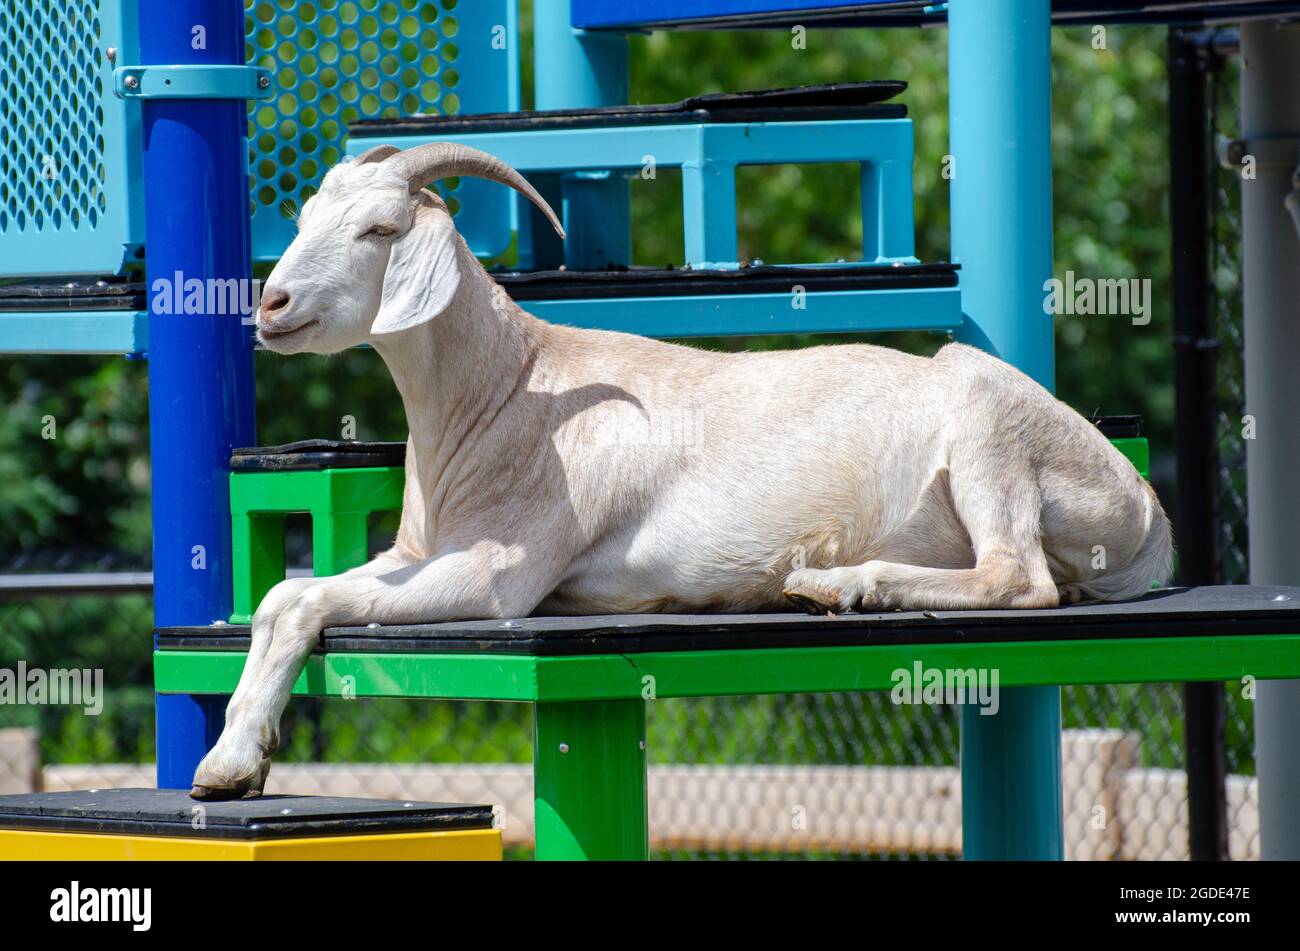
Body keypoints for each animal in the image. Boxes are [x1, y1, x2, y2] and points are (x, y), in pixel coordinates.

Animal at [191, 143, 1173, 799]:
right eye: (307, 220)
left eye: (380, 227)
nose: (272, 305)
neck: (514, 389)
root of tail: (1147, 511)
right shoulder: (417, 554)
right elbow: (283, 595)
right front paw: (231, 758)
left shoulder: (501, 576)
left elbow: (305, 600)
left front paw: (232, 761)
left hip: (986, 424)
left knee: (1020, 577)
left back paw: (838, 583)